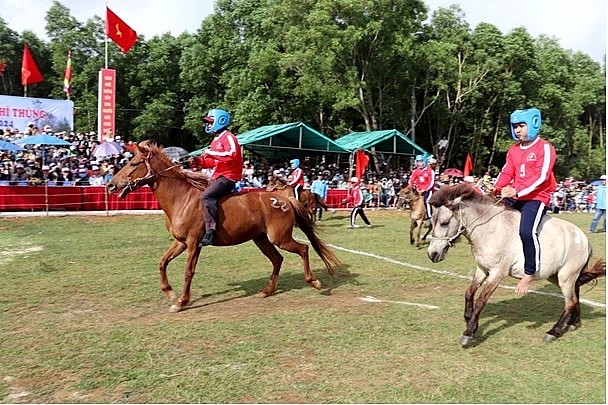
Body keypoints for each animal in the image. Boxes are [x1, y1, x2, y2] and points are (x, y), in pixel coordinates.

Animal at [105, 142, 342, 312]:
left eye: (133, 164)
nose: (110, 185)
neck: (181, 198)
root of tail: (284, 199)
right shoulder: (180, 242)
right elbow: (162, 263)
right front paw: (170, 292)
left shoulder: (194, 243)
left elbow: (188, 272)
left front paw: (181, 301)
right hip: (261, 239)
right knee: (277, 260)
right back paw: (266, 290)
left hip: (280, 238)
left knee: (303, 249)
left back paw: (314, 281)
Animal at [426, 183, 604, 344]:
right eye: (431, 222)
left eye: (444, 223)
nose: (432, 254)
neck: (490, 228)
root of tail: (583, 239)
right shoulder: (482, 269)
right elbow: (469, 293)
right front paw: (469, 318)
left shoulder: (497, 273)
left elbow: (481, 301)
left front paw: (469, 332)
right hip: (557, 276)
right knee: (576, 295)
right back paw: (573, 322)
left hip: (565, 277)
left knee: (570, 302)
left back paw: (554, 331)